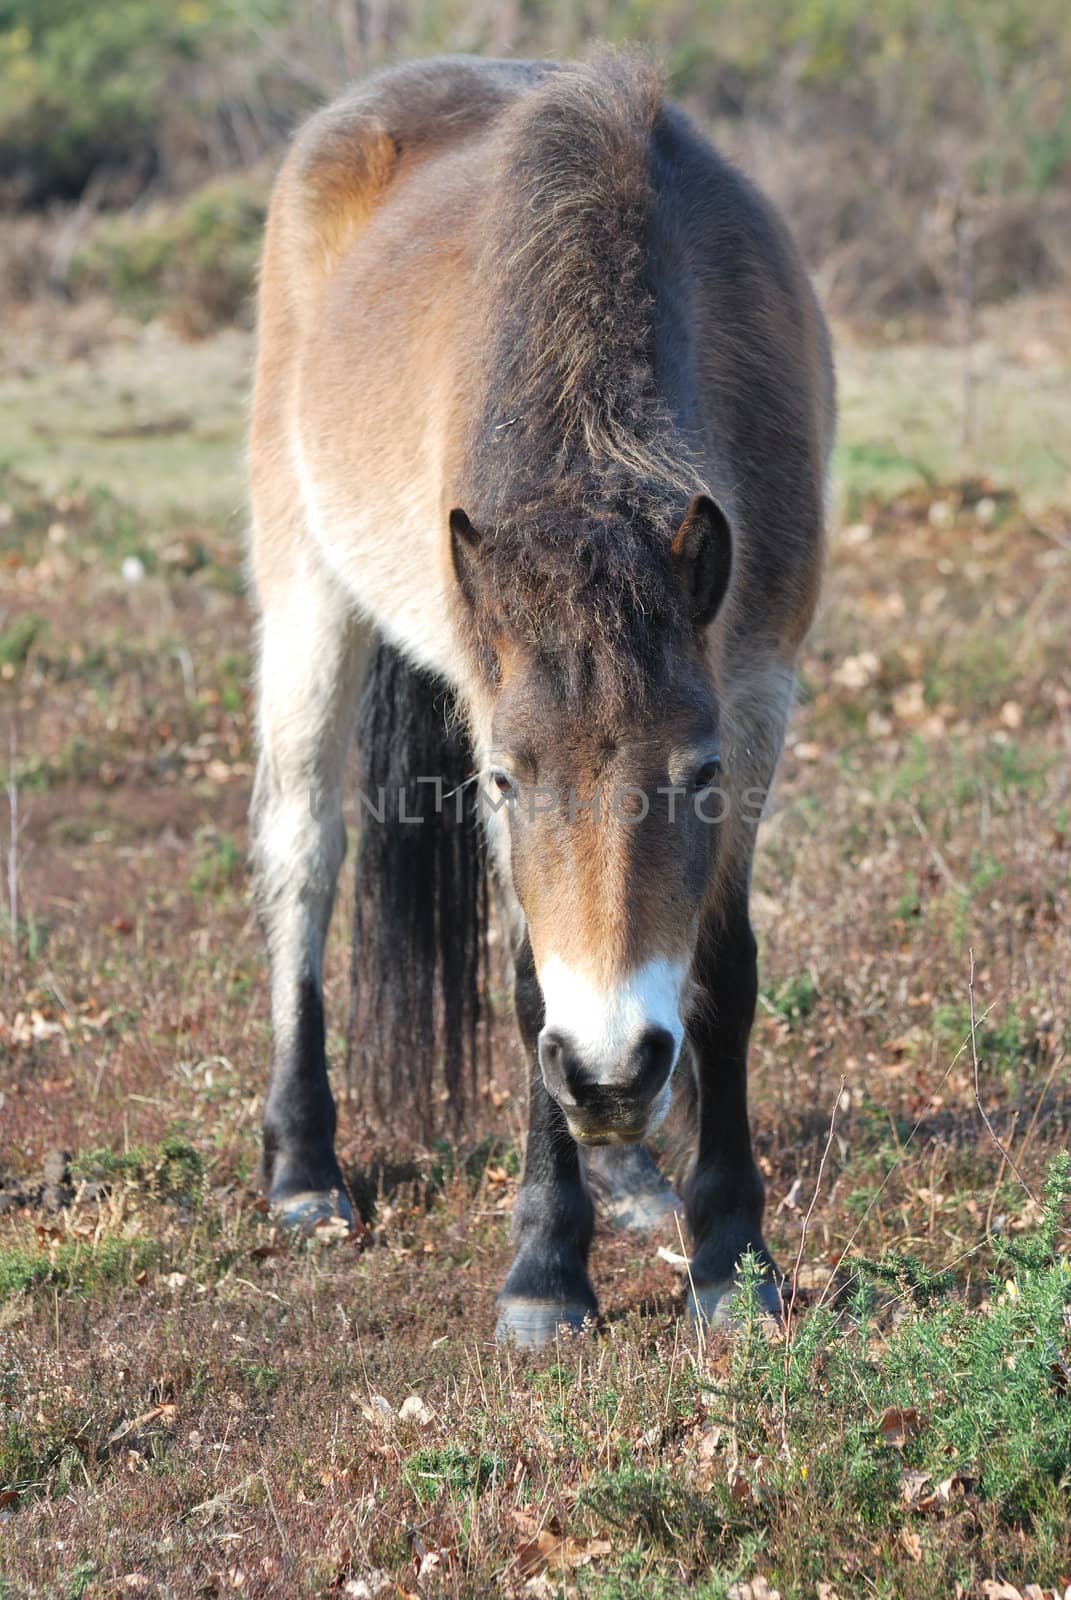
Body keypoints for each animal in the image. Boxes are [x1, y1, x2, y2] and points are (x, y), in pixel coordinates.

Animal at [246, 50, 832, 1344]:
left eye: (699, 774)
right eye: (509, 779)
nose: (611, 1074)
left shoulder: (758, 692)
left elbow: (722, 973)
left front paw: (731, 1257)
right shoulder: (483, 709)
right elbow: (523, 982)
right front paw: (546, 1274)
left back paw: (630, 1174)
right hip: (305, 593)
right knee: (304, 852)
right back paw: (306, 1168)